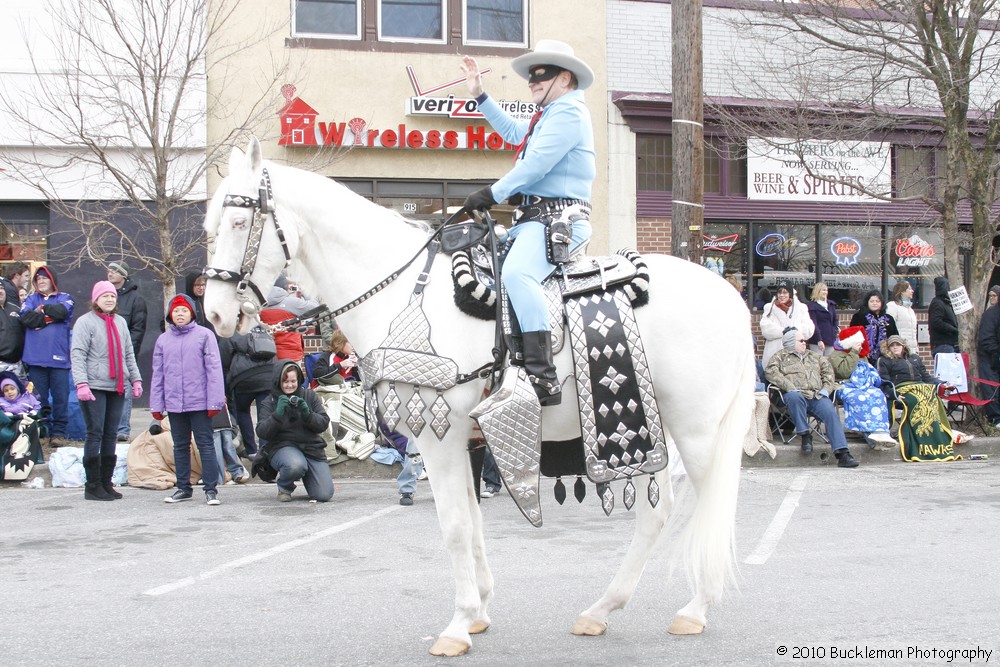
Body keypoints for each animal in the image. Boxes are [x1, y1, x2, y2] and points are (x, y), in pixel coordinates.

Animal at [201, 137, 752, 656]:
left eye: (239, 220)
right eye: (210, 225)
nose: (215, 315)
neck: (403, 292)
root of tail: (730, 296)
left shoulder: (437, 438)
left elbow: (454, 527)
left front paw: (457, 625)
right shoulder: (463, 439)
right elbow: (472, 519)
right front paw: (480, 610)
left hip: (695, 431)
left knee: (709, 506)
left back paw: (695, 609)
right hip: (648, 425)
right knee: (657, 514)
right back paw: (601, 610)